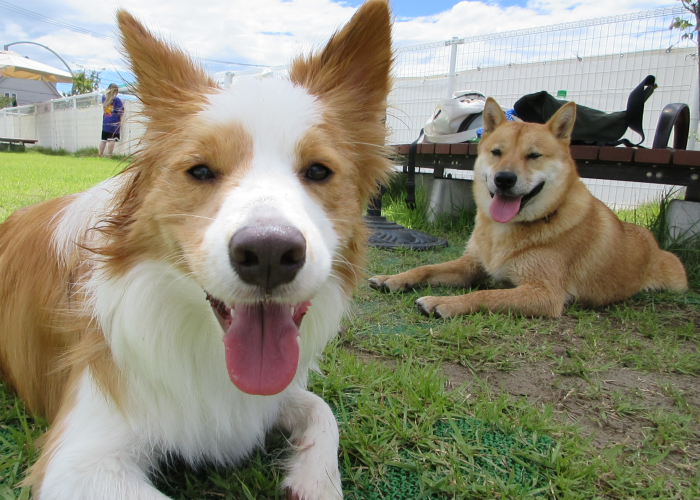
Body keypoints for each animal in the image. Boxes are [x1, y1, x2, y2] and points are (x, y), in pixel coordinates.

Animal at [0, 2, 392, 498]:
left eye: (319, 170)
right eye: (200, 170)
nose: (268, 254)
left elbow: (323, 410)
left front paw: (314, 481)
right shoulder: (78, 462)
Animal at [369, 98, 687, 318]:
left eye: (533, 155)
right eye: (496, 152)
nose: (504, 179)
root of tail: (650, 240)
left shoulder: (544, 294)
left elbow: (486, 295)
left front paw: (443, 302)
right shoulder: (471, 265)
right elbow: (426, 267)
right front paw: (394, 279)